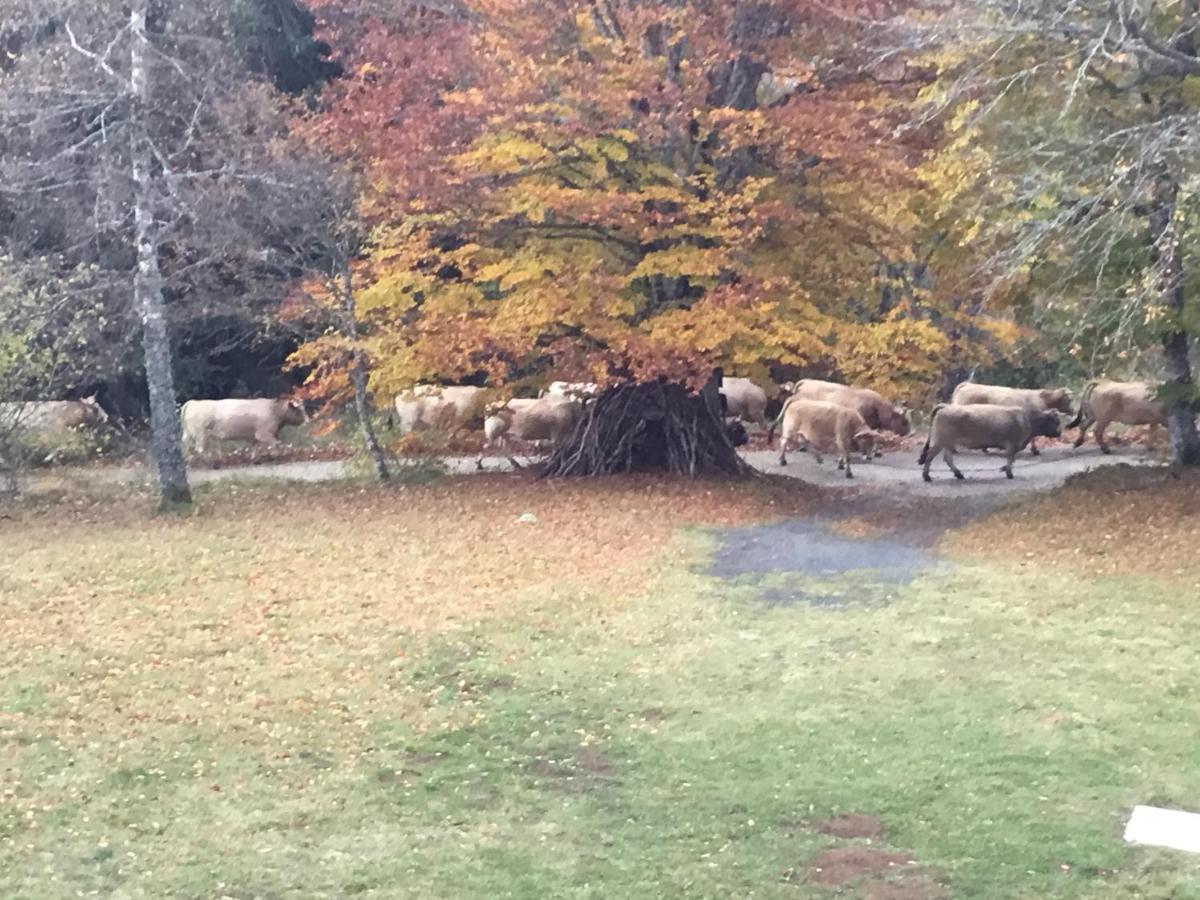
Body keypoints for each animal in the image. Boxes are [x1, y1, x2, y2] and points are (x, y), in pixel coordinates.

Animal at [921, 405, 1065, 482]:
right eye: (1056, 421)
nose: (1059, 433)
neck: (1027, 419)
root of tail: (946, 407)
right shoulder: (1012, 443)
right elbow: (1011, 458)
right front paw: (1009, 473)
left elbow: (1011, 459)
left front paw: (1004, 469)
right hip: (940, 441)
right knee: (929, 456)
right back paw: (927, 476)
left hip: (948, 443)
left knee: (948, 458)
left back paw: (959, 474)